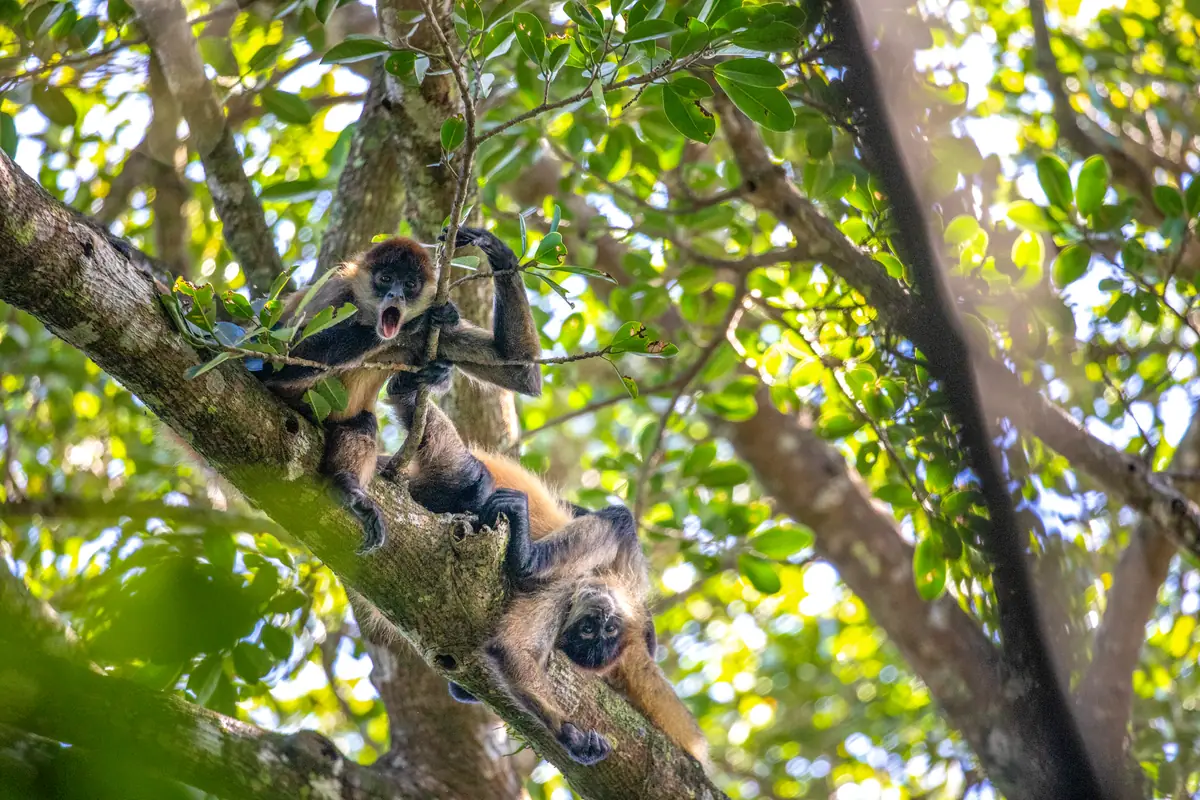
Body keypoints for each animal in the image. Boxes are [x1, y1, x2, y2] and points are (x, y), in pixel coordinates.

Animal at [259, 227, 542, 553]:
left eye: (409, 284)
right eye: (386, 278)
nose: (396, 295)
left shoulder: (437, 333)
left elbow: (520, 370)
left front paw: (495, 249)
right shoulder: (335, 292)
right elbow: (277, 359)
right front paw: (418, 320)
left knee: (362, 423)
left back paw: (346, 485)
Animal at [378, 375, 709, 767]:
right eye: (593, 628)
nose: (603, 615)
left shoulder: (561, 593)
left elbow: (510, 650)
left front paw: (570, 736)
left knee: (467, 478)